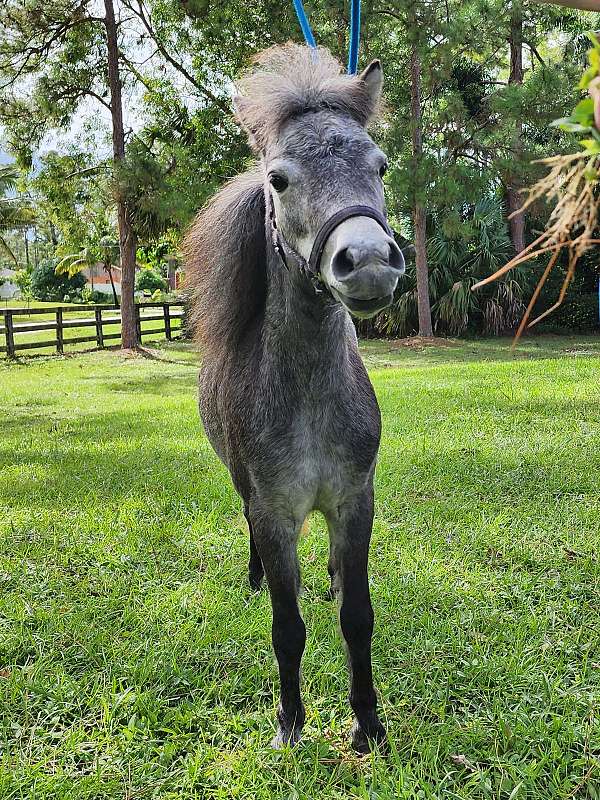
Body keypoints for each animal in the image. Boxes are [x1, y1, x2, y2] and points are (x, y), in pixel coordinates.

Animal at [185, 43, 406, 752]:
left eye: (380, 164)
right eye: (278, 180)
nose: (367, 261)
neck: (309, 402)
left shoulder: (354, 500)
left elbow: (357, 617)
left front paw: (367, 725)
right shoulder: (274, 511)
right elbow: (288, 627)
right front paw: (290, 723)